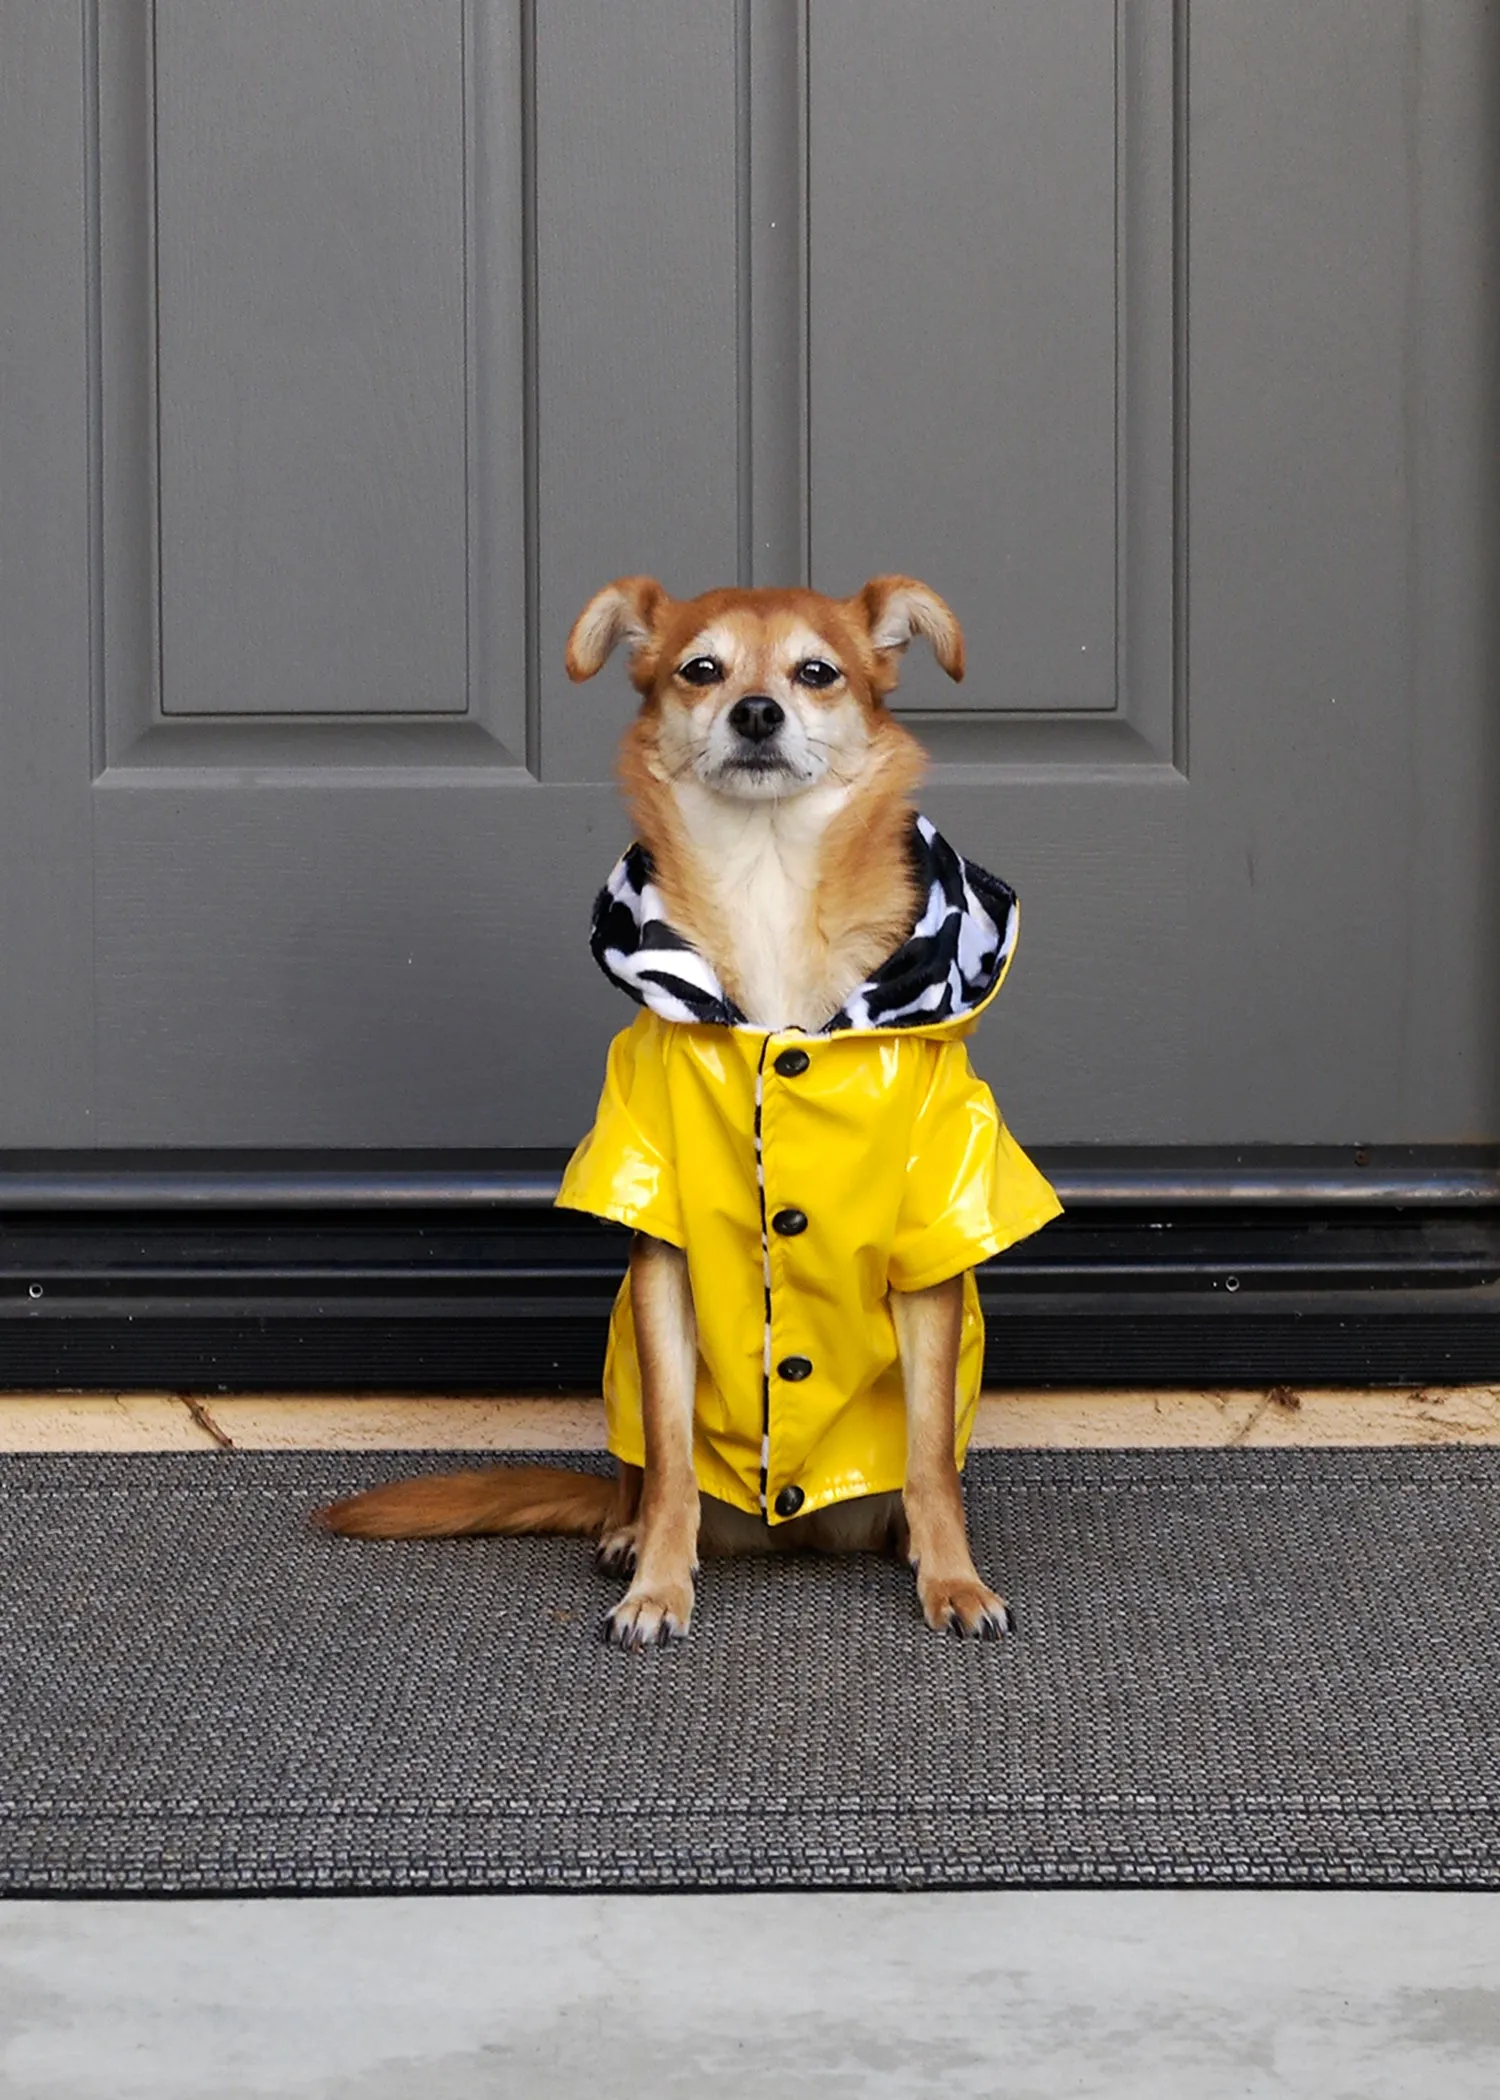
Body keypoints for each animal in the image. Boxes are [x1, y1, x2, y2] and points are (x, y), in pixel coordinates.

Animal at [321, 575, 1058, 1637]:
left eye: (817, 672)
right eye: (700, 669)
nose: (756, 711)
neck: (769, 880)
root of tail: (793, 1531)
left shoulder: (932, 1247)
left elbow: (927, 1458)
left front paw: (954, 1578)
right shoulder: (659, 1257)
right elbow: (671, 1453)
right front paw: (659, 1586)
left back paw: (909, 1543)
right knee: (637, 1476)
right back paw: (628, 1536)